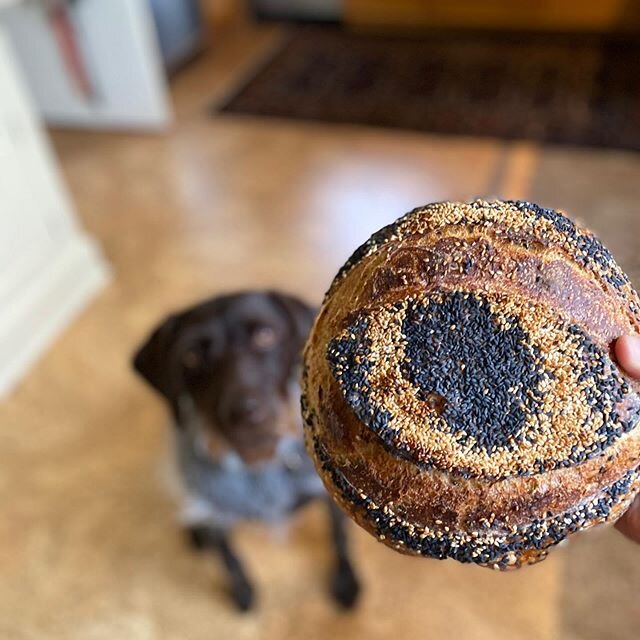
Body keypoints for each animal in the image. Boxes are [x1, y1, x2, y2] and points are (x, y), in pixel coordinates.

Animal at [133, 290, 360, 608]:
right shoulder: (215, 510)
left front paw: (345, 579)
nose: (246, 412)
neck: (259, 467)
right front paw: (241, 590)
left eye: (265, 335)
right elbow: (229, 557)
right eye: (191, 356)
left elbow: (338, 535)